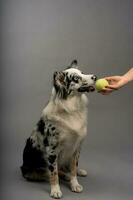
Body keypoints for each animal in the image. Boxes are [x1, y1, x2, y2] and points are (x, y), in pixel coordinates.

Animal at [20, 59, 97, 198]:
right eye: (76, 78)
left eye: (83, 73)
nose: (95, 77)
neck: (72, 109)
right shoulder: (52, 150)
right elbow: (54, 173)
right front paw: (55, 190)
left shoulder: (76, 147)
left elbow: (73, 168)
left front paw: (74, 184)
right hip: (33, 170)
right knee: (50, 172)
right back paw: (64, 176)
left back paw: (76, 172)